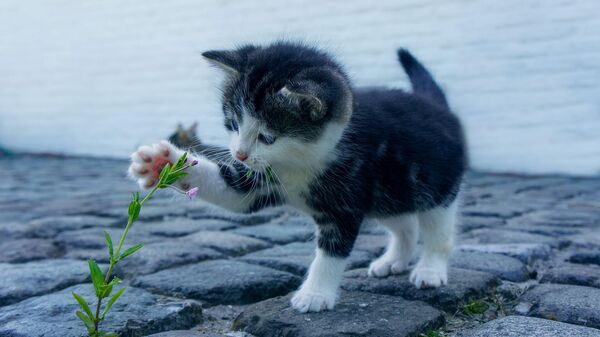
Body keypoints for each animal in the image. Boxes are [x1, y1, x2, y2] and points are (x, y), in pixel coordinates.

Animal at [129, 41, 466, 312]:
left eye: (267, 137)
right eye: (233, 123)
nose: (239, 154)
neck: (299, 161)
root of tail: (437, 106)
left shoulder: (346, 198)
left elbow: (331, 251)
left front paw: (315, 294)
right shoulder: (259, 180)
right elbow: (232, 192)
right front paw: (162, 162)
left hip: (435, 186)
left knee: (437, 230)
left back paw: (430, 269)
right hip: (389, 193)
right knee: (405, 223)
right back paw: (394, 260)